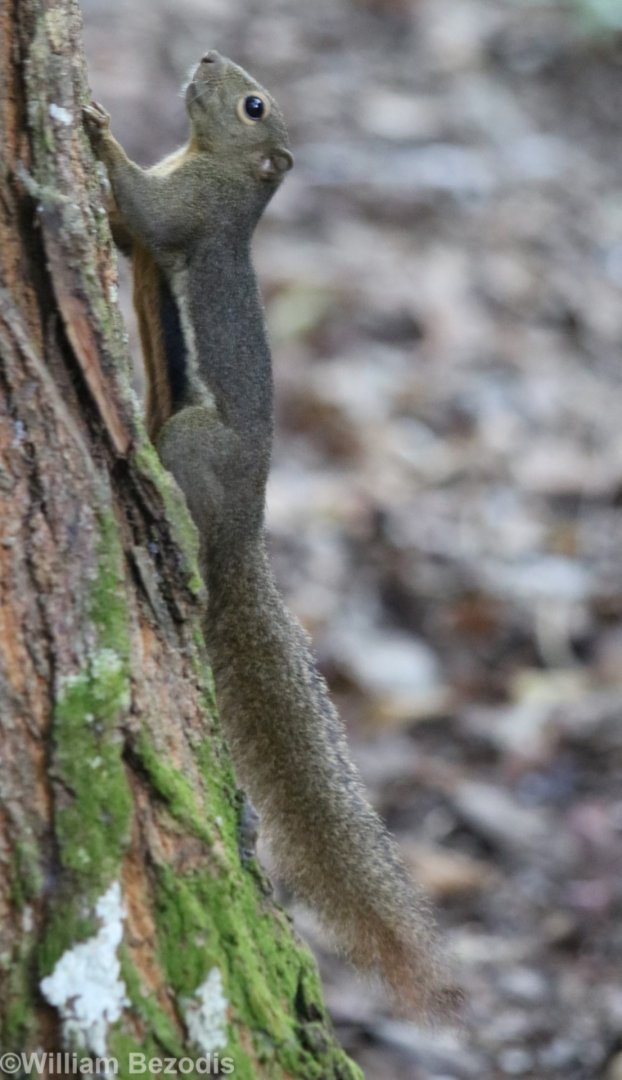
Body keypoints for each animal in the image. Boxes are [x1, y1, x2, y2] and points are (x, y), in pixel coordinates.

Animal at [83, 51, 457, 1019]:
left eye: (254, 103)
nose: (209, 56)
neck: (213, 163)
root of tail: (244, 532)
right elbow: (127, 237)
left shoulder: (193, 209)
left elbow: (146, 214)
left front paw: (97, 129)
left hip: (194, 444)